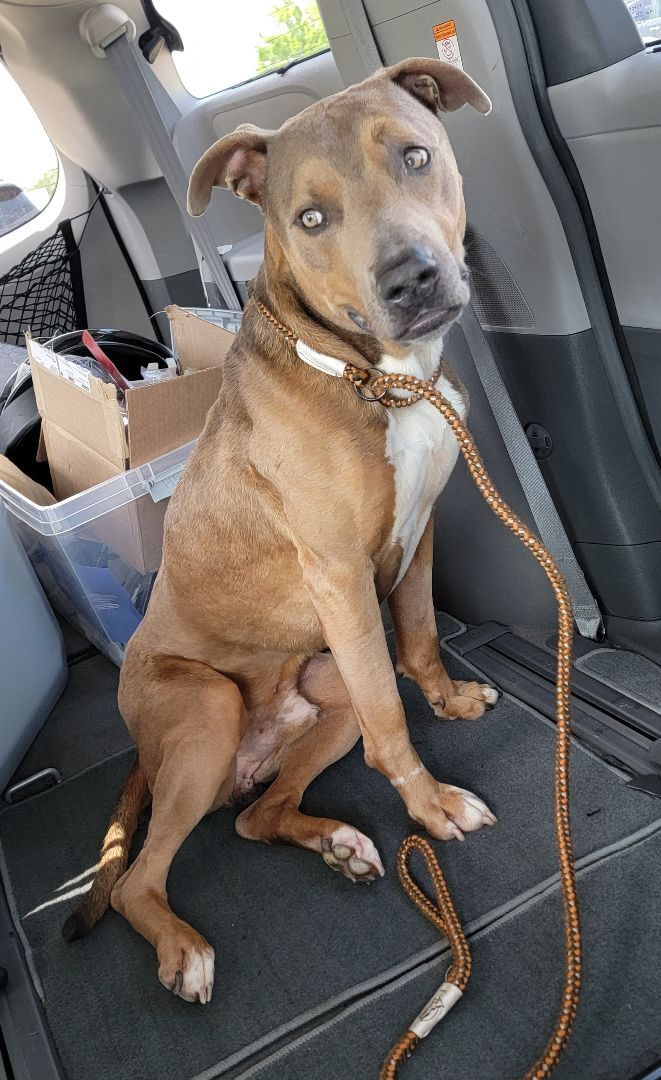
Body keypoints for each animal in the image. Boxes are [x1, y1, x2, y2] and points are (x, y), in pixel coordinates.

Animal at [64, 56, 496, 1002]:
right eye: (309, 218)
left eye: (414, 156)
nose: (409, 279)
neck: (371, 375)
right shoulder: (340, 575)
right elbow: (395, 722)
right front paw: (431, 805)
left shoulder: (418, 536)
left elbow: (417, 640)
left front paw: (448, 700)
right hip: (206, 714)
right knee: (138, 880)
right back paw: (181, 949)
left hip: (328, 704)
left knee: (257, 818)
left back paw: (335, 843)